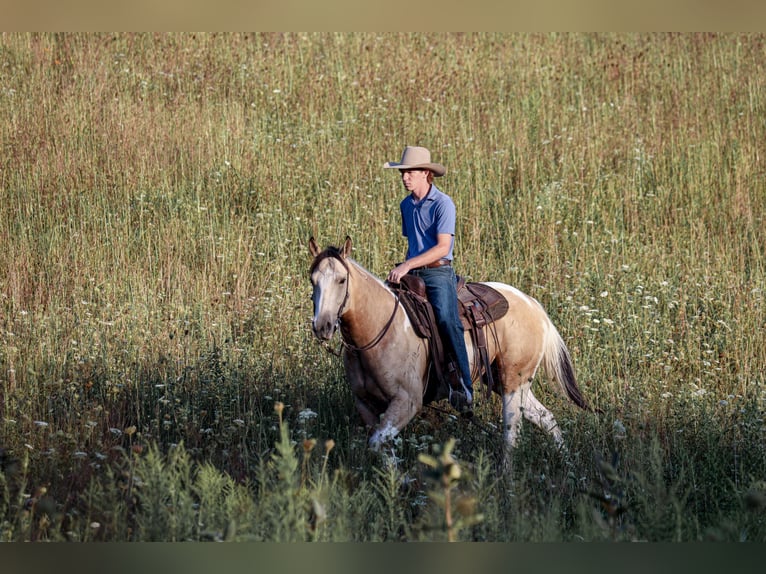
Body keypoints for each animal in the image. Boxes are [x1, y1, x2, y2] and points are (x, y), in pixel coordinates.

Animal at [309, 236, 593, 459]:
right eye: (313, 280)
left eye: (341, 280)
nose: (322, 326)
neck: (380, 326)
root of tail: (534, 305)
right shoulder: (366, 405)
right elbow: (382, 449)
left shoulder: (407, 401)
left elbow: (378, 443)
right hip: (512, 383)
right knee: (546, 418)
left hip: (513, 384)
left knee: (511, 435)